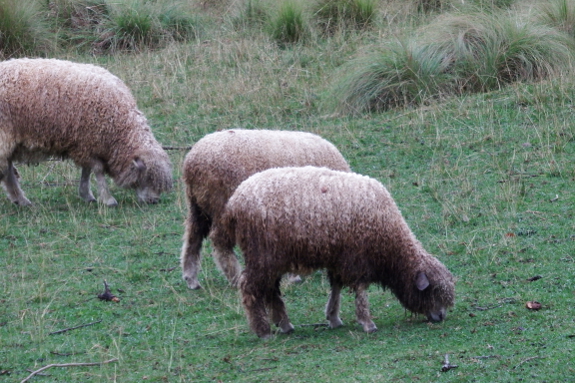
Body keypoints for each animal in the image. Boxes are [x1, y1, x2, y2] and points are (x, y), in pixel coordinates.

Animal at [0, 57, 173, 207]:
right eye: (147, 178)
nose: (153, 200)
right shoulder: (86, 141)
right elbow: (98, 170)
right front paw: (108, 199)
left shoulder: (86, 144)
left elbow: (87, 170)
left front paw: (86, 194)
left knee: (8, 172)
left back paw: (21, 200)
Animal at [180, 130, 352, 290]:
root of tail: (192, 161)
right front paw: (294, 276)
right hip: (221, 203)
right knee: (218, 241)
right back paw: (235, 277)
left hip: (198, 204)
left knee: (193, 237)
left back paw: (191, 278)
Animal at [215, 167, 454, 340]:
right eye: (433, 292)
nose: (441, 316)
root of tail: (233, 203)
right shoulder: (356, 258)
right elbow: (360, 291)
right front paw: (367, 323)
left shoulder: (339, 259)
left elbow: (337, 287)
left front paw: (333, 317)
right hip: (261, 254)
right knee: (250, 289)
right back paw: (263, 331)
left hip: (271, 258)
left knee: (271, 291)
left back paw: (285, 324)